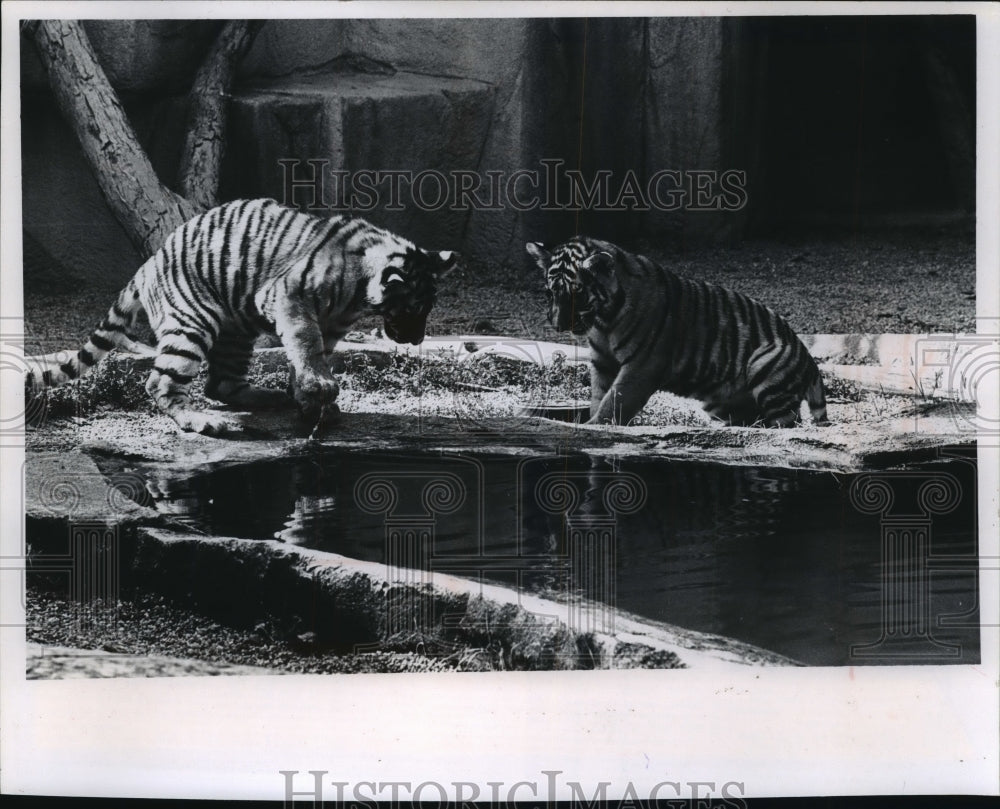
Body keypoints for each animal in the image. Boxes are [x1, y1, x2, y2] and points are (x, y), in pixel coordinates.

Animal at [27, 198, 458, 436]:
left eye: (427, 309)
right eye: (412, 309)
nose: (417, 339)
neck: (359, 294)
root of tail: (149, 263)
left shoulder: (330, 323)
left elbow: (309, 352)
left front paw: (308, 398)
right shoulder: (288, 296)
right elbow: (306, 342)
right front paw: (319, 388)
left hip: (235, 333)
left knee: (221, 384)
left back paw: (269, 397)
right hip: (192, 324)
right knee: (161, 383)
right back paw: (204, 422)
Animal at [526, 237, 828, 428]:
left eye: (578, 295)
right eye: (550, 293)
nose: (558, 325)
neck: (603, 321)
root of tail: (809, 359)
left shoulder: (642, 365)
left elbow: (615, 400)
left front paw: (596, 426)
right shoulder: (602, 361)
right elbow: (599, 396)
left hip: (766, 366)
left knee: (787, 424)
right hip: (719, 400)